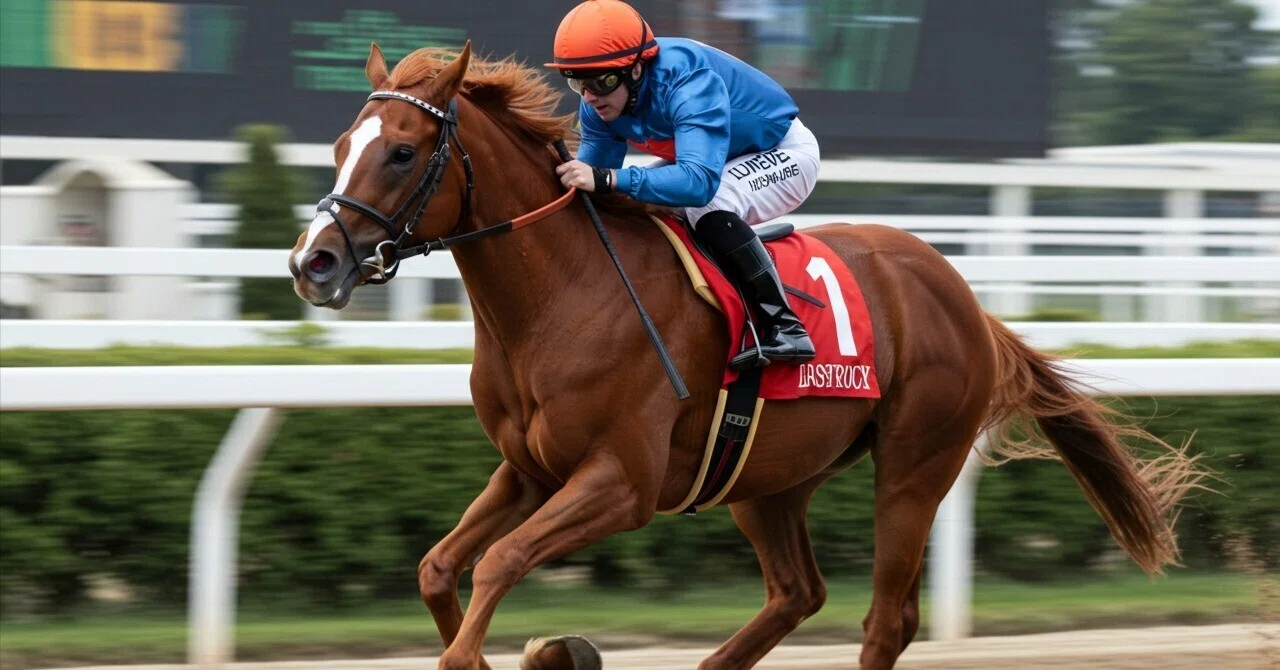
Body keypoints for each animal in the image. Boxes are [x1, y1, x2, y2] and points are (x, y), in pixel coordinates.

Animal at [287, 42, 1204, 670]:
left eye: (402, 150)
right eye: (338, 145)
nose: (313, 262)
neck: (559, 297)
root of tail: (965, 297)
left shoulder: (620, 482)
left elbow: (501, 561)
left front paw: (536, 649)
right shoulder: (531, 470)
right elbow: (439, 567)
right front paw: (543, 650)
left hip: (915, 466)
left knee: (886, 619)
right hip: (767, 475)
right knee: (798, 592)